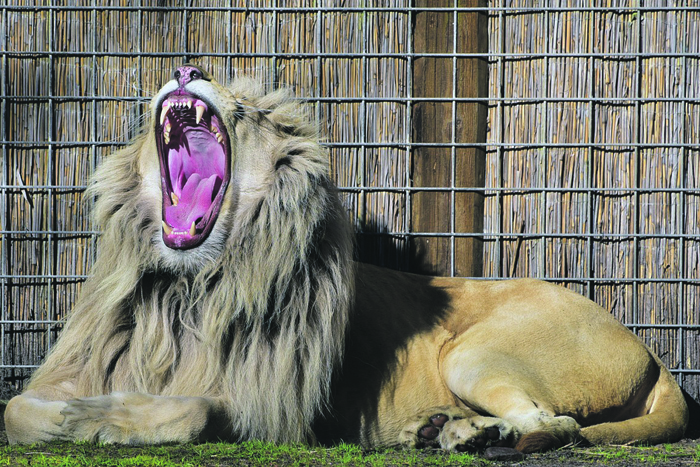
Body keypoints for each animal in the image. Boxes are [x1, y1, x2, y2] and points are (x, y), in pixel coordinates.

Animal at [4, 66, 688, 454]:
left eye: (247, 112)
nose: (185, 69)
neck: (187, 289)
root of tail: (652, 350)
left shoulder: (268, 411)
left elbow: (193, 411)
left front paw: (99, 419)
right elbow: (17, 408)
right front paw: (71, 416)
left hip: (474, 353)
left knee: (557, 421)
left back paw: (483, 436)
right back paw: (443, 431)